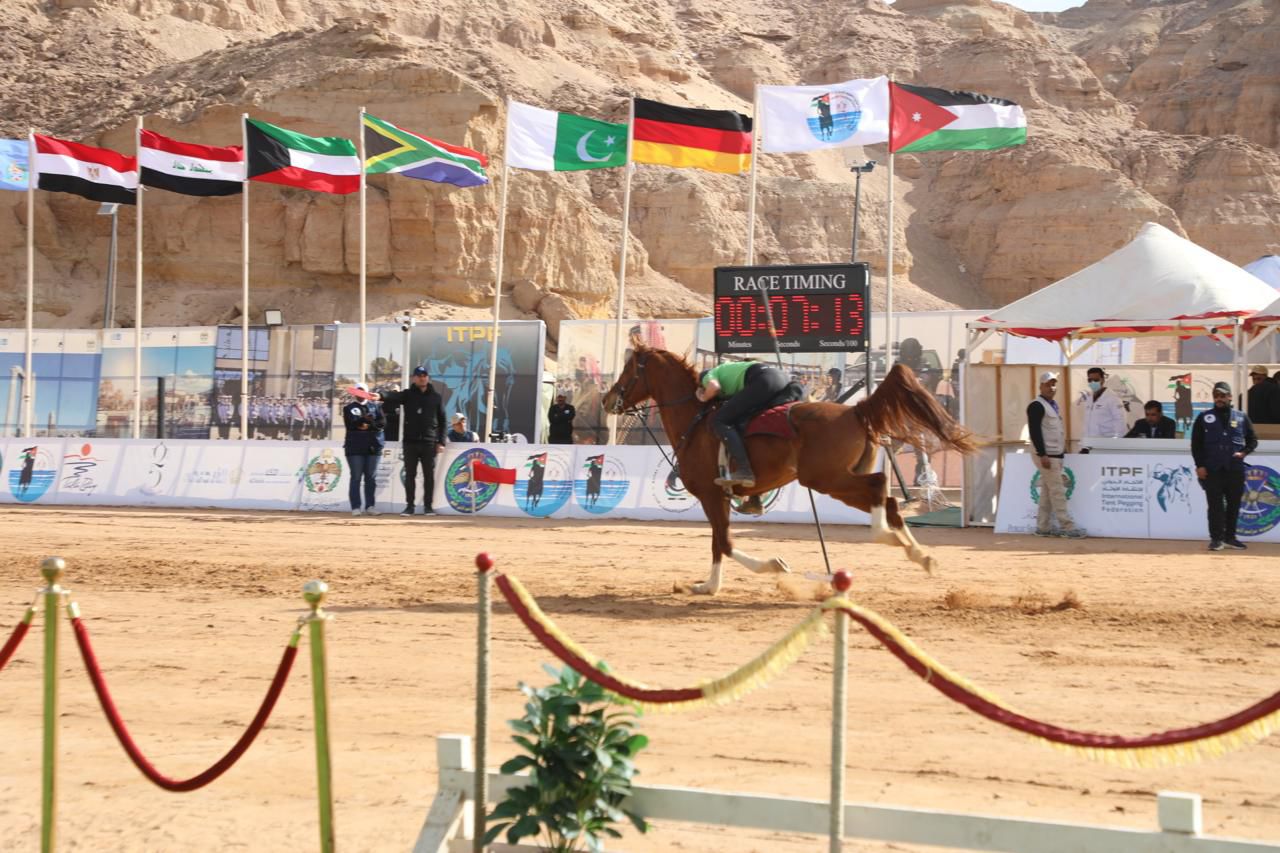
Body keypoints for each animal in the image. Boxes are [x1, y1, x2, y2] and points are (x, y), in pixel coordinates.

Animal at [602, 347, 977, 594]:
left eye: (628, 370)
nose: (607, 400)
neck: (695, 420)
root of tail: (856, 411)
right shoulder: (718, 497)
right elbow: (719, 543)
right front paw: (709, 585)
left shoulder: (711, 494)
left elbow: (723, 543)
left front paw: (761, 569)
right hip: (838, 484)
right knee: (889, 501)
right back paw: (919, 554)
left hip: (827, 479)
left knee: (880, 485)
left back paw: (886, 536)